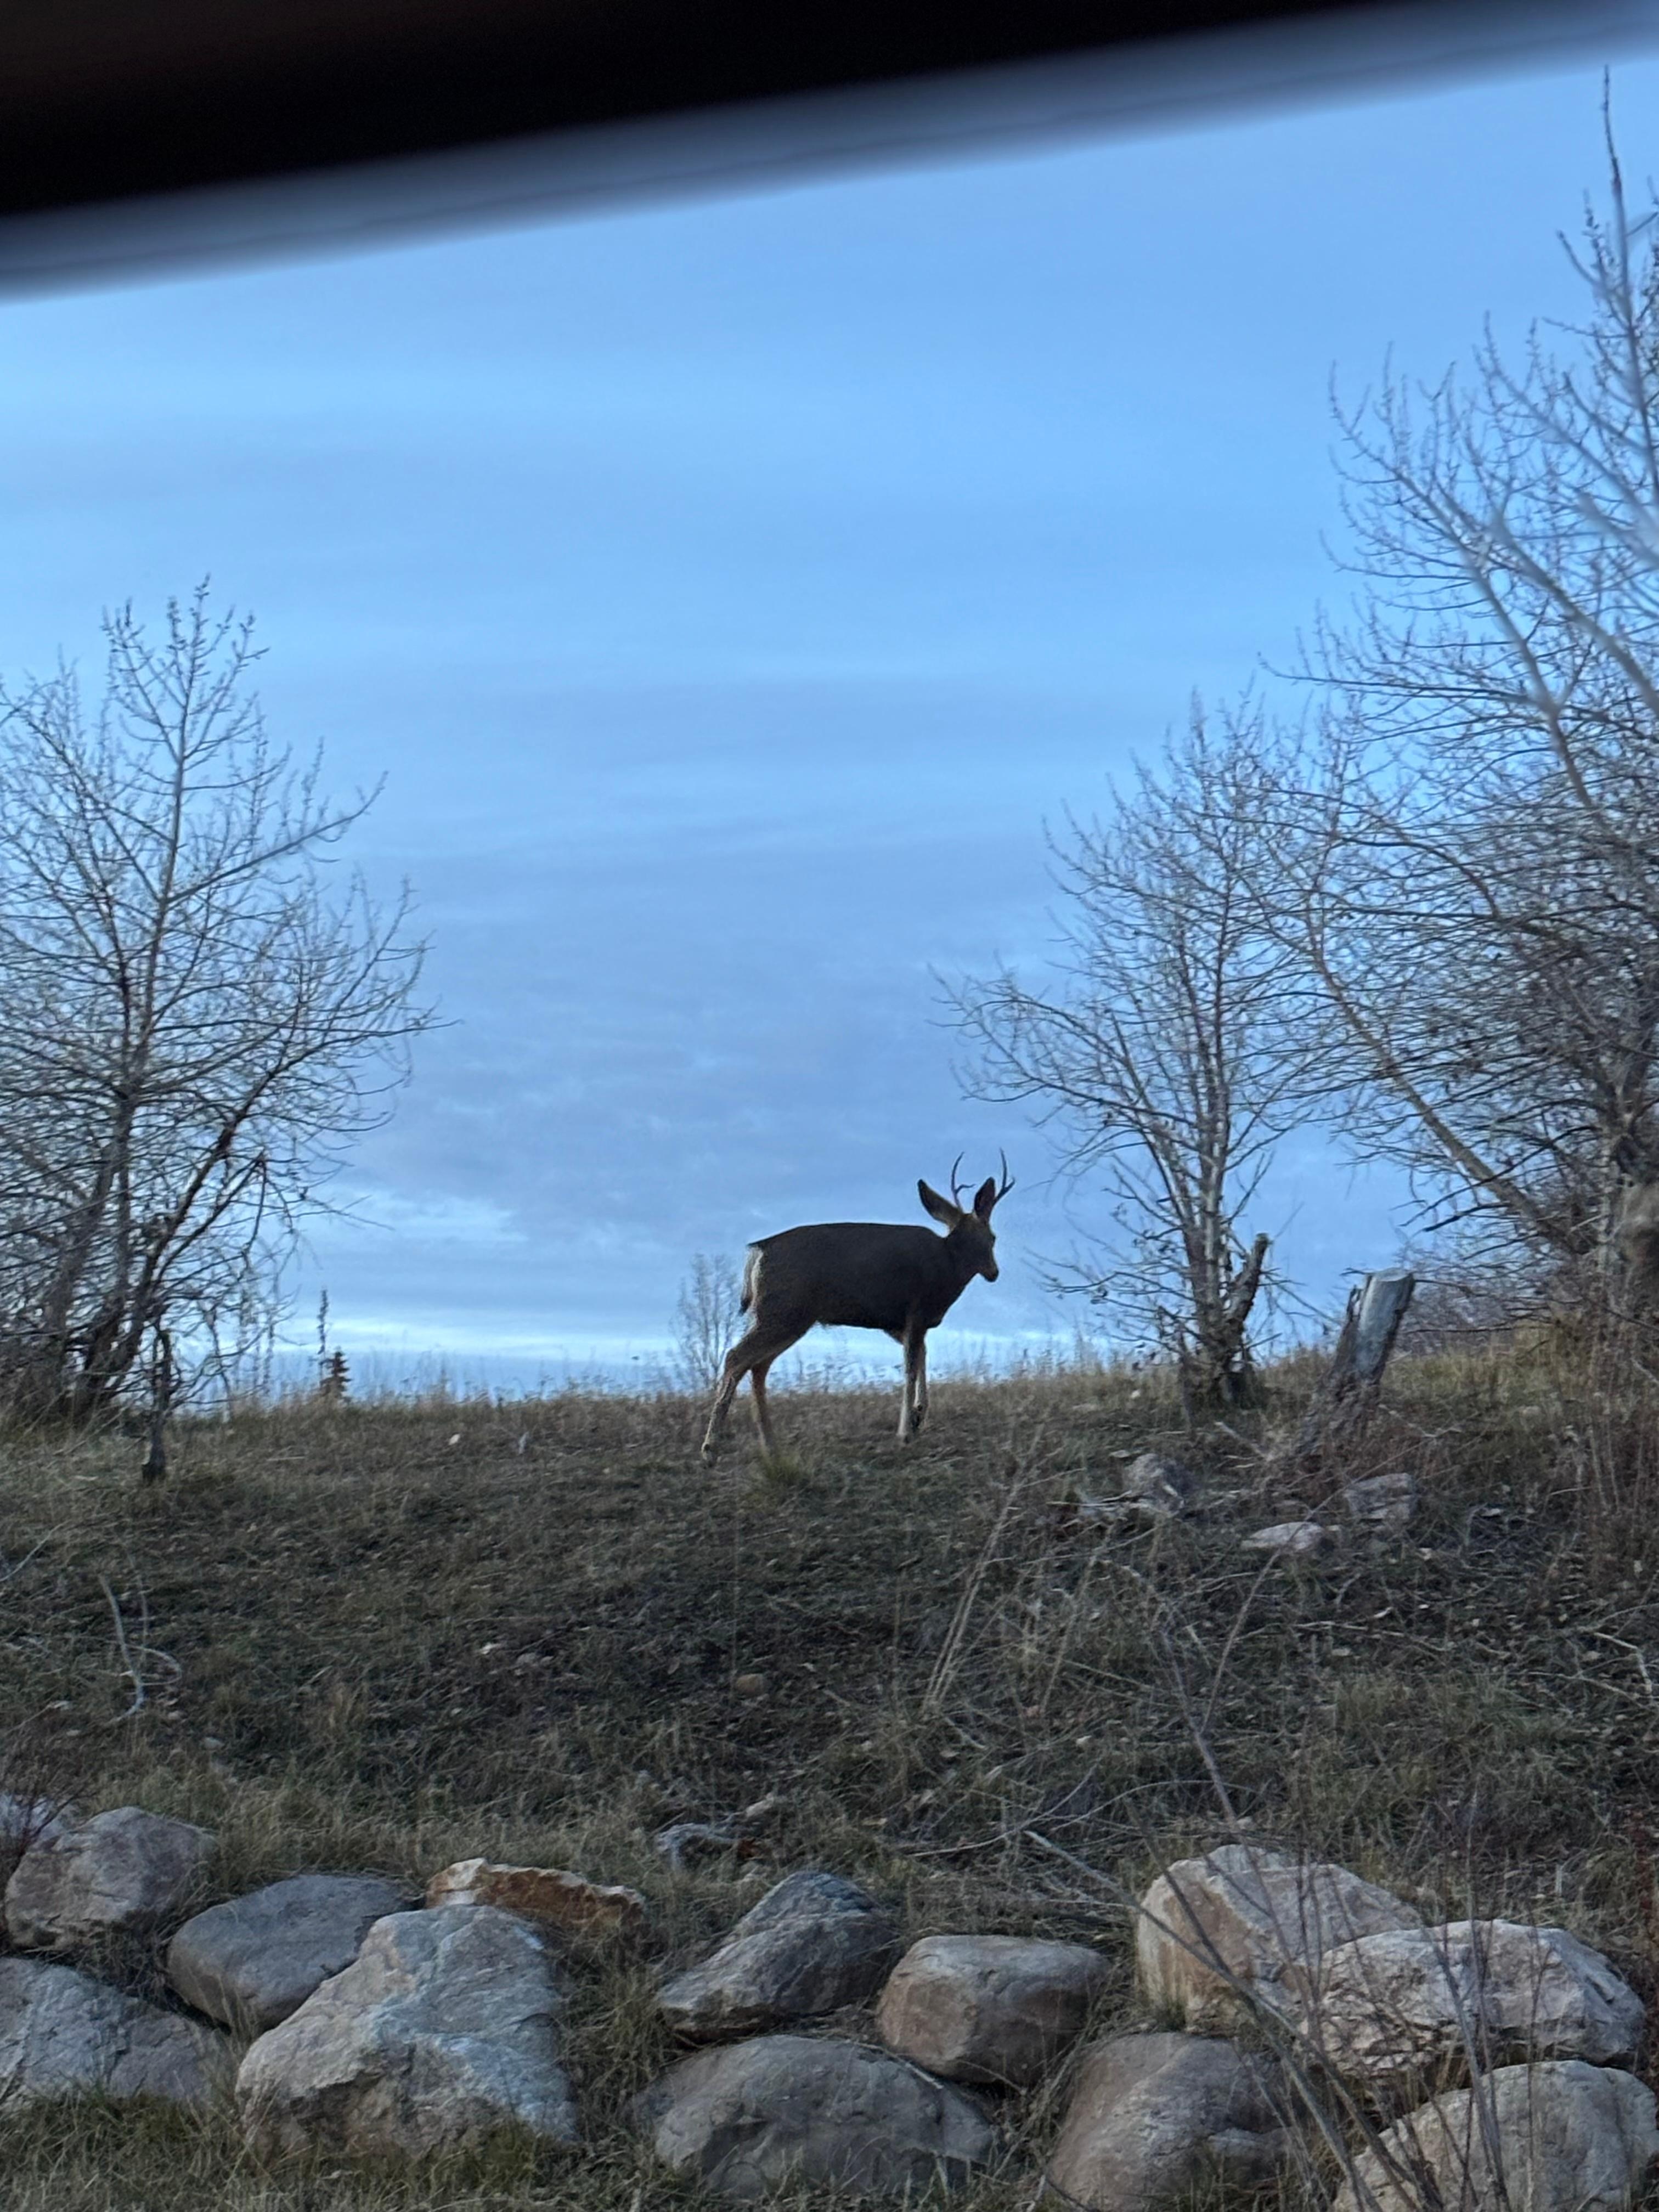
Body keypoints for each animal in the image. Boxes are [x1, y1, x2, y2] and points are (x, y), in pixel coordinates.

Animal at [700, 1156, 1013, 1462]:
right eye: (993, 1238)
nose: (994, 1272)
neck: (947, 1268)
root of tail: (758, 1251)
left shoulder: (897, 1323)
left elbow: (922, 1355)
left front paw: (918, 1416)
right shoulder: (916, 1309)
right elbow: (911, 1365)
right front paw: (906, 1432)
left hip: (785, 1315)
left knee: (758, 1367)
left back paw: (771, 1447)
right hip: (783, 1309)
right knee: (737, 1358)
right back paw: (711, 1448)